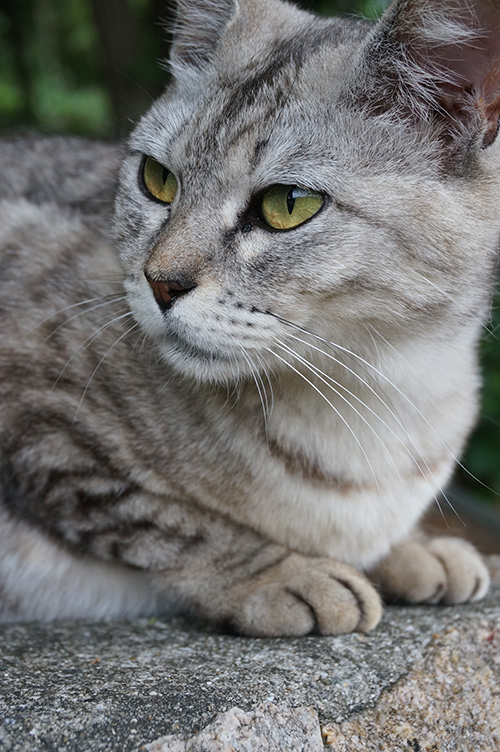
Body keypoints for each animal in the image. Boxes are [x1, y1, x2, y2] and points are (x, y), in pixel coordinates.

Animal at [0, 0, 500, 636]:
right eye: (157, 179)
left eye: (287, 205)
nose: (159, 282)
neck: (382, 392)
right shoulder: (37, 408)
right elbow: (165, 517)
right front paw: (281, 573)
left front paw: (413, 549)